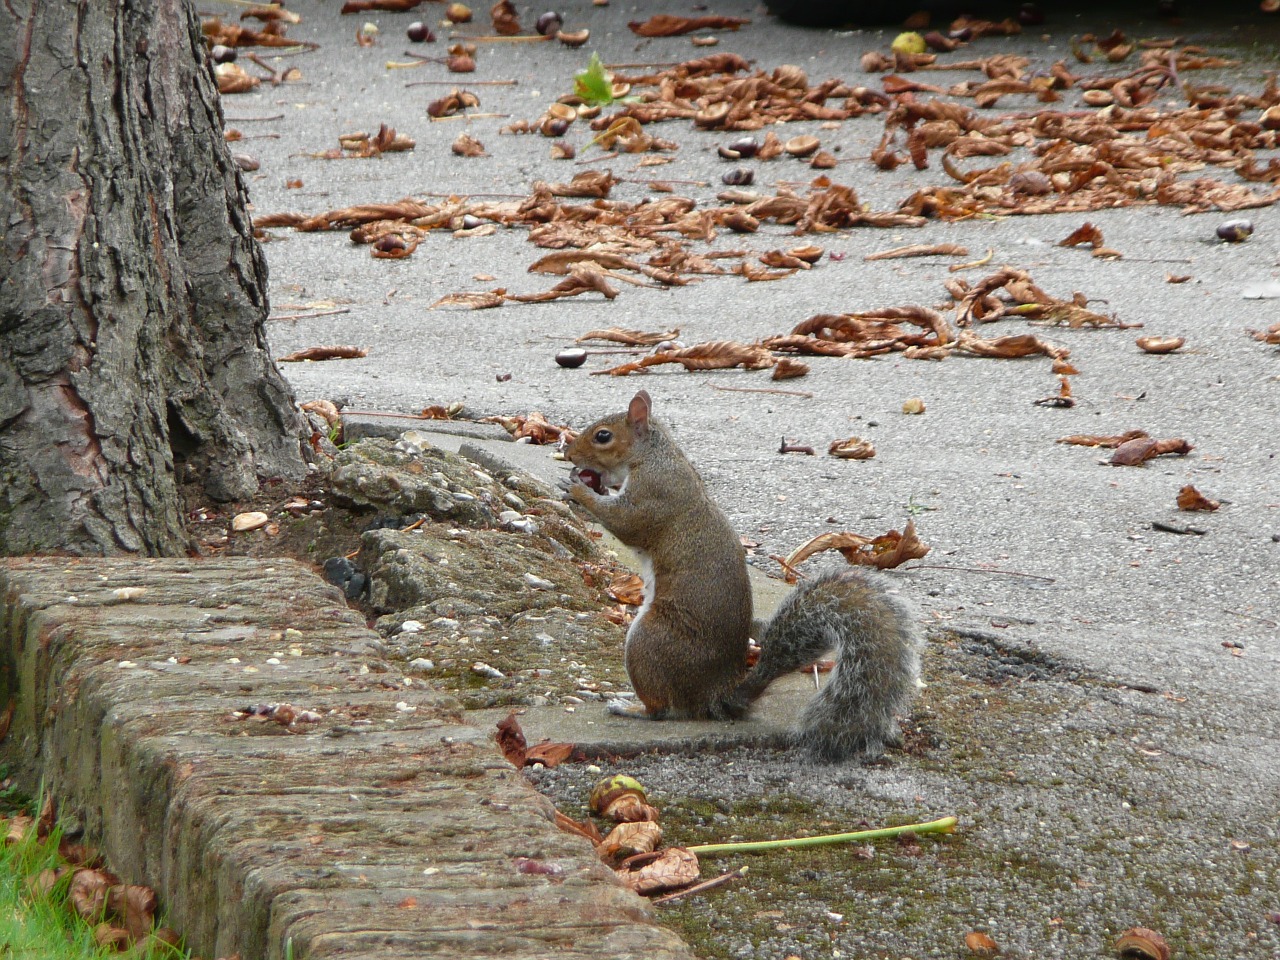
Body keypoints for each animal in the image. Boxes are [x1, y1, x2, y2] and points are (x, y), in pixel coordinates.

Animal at [568, 386, 921, 762]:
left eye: (603, 436)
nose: (568, 452)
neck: (653, 455)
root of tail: (713, 696)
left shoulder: (655, 493)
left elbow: (627, 523)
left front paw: (578, 491)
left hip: (649, 642)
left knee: (664, 709)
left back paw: (630, 707)